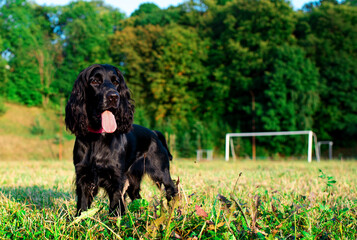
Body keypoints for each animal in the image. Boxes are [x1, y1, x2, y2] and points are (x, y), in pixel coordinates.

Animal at [64, 63, 177, 216]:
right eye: (95, 81)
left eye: (116, 82)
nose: (113, 96)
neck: (99, 138)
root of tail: (154, 132)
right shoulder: (83, 176)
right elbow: (82, 205)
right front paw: (79, 220)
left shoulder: (116, 178)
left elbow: (115, 205)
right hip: (133, 179)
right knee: (137, 196)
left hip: (161, 171)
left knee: (172, 189)